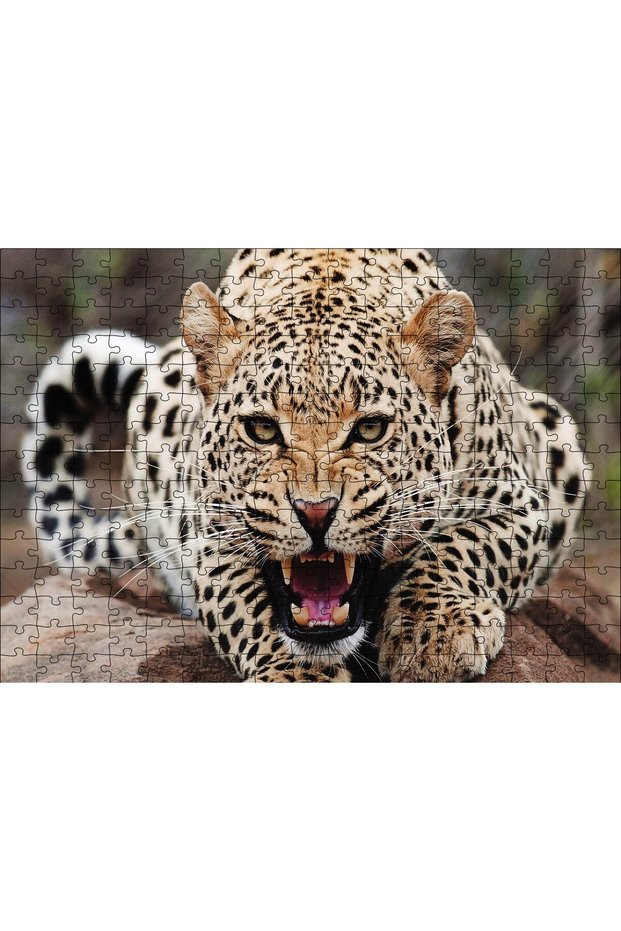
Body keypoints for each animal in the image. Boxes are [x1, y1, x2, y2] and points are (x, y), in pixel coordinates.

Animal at [23, 248, 587, 682]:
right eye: (262, 429)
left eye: (370, 430)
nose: (316, 512)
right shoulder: (205, 531)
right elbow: (246, 606)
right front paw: (297, 675)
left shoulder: (519, 504)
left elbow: (462, 547)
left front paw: (434, 634)